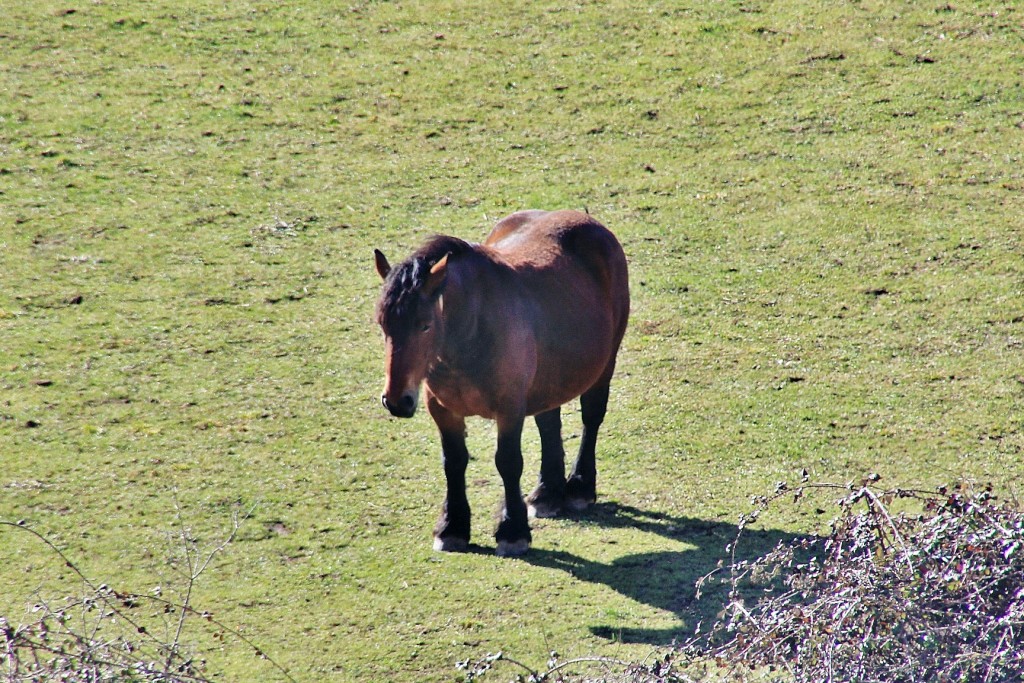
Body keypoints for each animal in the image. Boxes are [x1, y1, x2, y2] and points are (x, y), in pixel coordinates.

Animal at [374, 209, 626, 557]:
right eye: (382, 323)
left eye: (424, 325)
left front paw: (512, 531)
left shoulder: (509, 409)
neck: (470, 332)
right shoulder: (443, 410)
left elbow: (508, 462)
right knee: (549, 423)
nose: (397, 401)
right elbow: (454, 462)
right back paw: (547, 493)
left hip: (604, 365)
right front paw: (452, 527)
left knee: (591, 418)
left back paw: (578, 487)